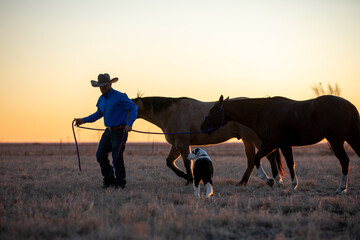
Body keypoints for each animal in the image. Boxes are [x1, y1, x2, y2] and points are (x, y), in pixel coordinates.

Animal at [132, 96, 284, 187]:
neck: (171, 112)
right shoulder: (176, 145)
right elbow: (170, 162)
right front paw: (186, 177)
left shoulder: (182, 143)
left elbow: (187, 163)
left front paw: (189, 179)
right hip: (247, 141)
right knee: (252, 160)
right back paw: (242, 182)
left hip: (255, 139)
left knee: (269, 157)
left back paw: (272, 181)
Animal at [201, 95, 360, 193]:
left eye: (213, 110)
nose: (203, 127)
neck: (262, 112)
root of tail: (349, 105)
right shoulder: (282, 145)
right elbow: (288, 163)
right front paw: (285, 183)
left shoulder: (272, 143)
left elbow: (258, 159)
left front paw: (270, 180)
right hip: (350, 138)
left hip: (336, 141)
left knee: (345, 161)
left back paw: (341, 188)